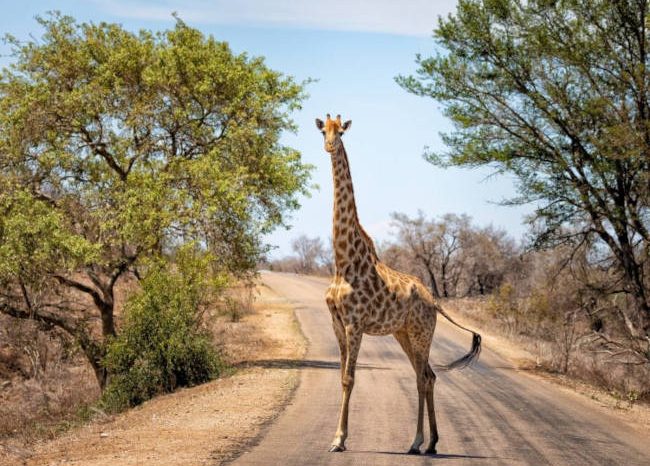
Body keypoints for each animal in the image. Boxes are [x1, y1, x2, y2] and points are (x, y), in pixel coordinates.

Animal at [316, 114, 478, 456]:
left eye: (341, 132)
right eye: (323, 131)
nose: (329, 146)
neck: (342, 261)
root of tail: (434, 302)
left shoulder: (354, 324)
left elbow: (349, 379)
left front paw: (339, 439)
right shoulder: (337, 322)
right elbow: (340, 376)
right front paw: (337, 437)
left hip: (420, 333)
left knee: (423, 378)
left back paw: (417, 442)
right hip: (403, 333)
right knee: (427, 375)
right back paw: (430, 443)